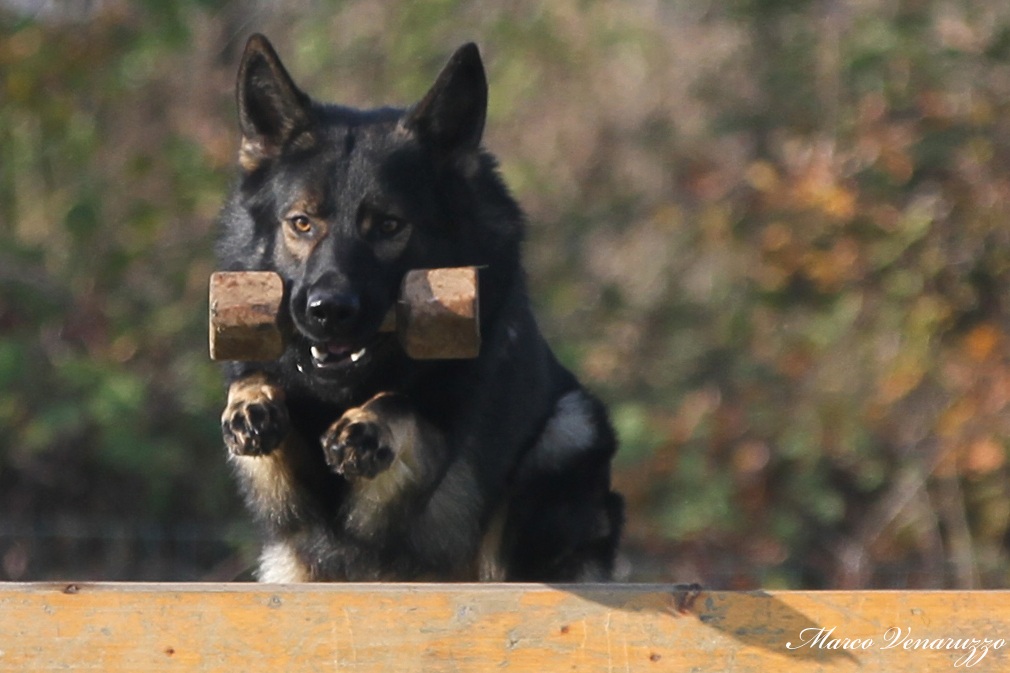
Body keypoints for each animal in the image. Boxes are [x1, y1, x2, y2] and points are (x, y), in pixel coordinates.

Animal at [216, 34, 623, 582]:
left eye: (389, 226)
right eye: (302, 223)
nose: (327, 310)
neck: (345, 386)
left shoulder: (428, 461)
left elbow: (403, 405)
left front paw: (366, 427)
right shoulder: (292, 501)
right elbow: (255, 383)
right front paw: (250, 404)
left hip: (568, 433)